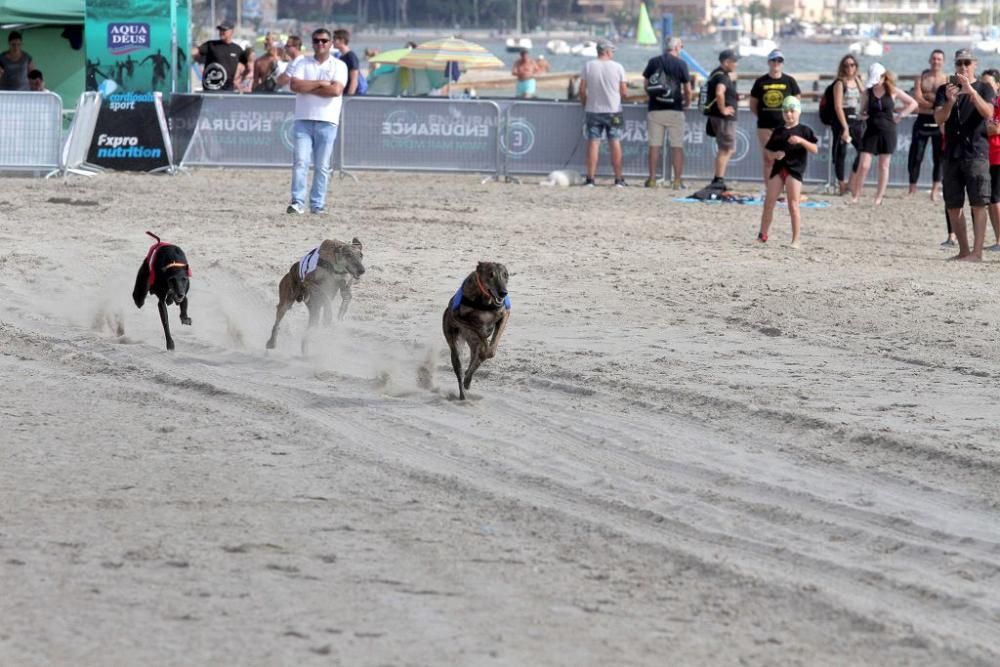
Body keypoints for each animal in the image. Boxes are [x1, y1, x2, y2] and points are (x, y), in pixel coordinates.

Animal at [442, 264, 512, 402]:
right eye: (490, 275)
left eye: (505, 275)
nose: (503, 293)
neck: (486, 300)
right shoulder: (458, 316)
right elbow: (480, 333)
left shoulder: (504, 314)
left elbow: (491, 349)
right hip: (455, 342)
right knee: (460, 366)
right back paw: (463, 396)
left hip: (473, 345)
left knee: (476, 360)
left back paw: (468, 380)